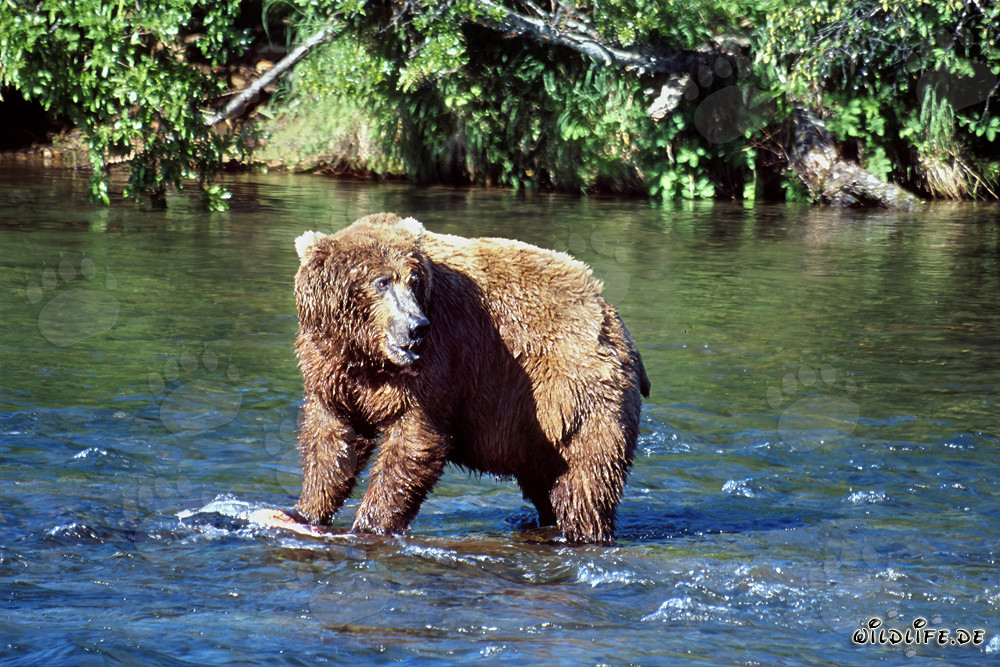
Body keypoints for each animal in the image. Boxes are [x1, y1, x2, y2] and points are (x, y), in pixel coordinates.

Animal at [291, 213, 650, 544]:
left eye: (413, 280)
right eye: (382, 281)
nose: (416, 326)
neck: (369, 355)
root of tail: (610, 314)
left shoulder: (438, 362)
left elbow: (416, 441)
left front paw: (369, 525)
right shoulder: (330, 370)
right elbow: (333, 440)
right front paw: (305, 511)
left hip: (575, 393)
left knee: (584, 482)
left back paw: (583, 531)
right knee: (548, 483)